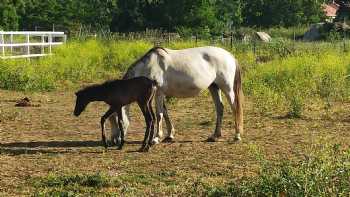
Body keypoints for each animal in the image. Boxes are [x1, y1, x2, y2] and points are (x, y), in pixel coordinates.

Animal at [108, 45, 243, 145]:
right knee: (220, 108)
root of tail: (230, 56)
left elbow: (159, 114)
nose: (114, 141)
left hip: (227, 88)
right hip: (214, 87)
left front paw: (156, 138)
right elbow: (165, 113)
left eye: (117, 119)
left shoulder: (158, 93)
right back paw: (215, 136)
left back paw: (237, 135)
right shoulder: (160, 94)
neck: (149, 67)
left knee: (234, 108)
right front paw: (169, 135)